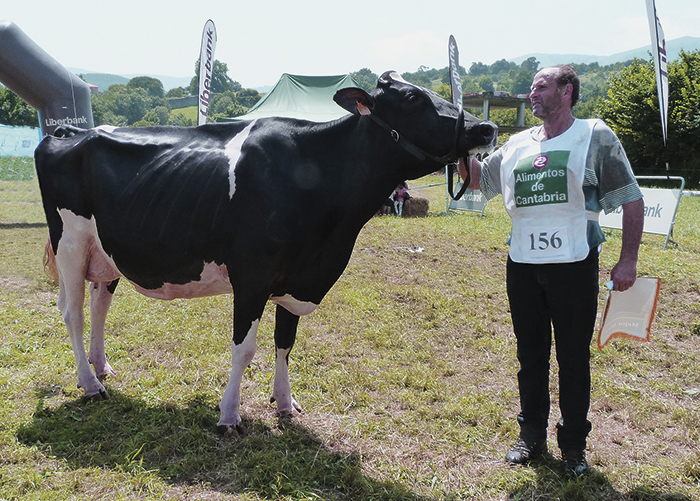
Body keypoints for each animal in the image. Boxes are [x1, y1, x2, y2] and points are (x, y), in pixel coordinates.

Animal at [35, 72, 498, 436]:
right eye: (413, 98)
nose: (487, 128)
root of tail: (69, 133)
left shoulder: (295, 279)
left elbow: (285, 342)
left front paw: (285, 403)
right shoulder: (252, 276)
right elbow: (245, 348)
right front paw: (229, 415)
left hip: (106, 251)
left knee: (100, 304)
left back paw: (101, 367)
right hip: (70, 242)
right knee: (73, 312)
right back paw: (90, 384)